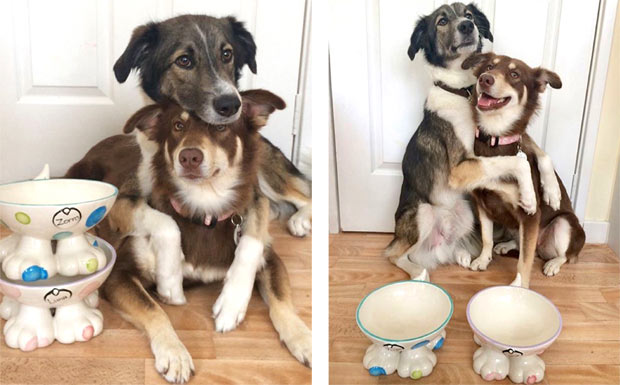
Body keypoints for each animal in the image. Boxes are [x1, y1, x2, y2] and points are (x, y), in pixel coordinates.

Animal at [448, 53, 584, 288]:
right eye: (489, 66)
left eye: (514, 74)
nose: (485, 79)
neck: (494, 138)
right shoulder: (480, 201)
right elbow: (487, 237)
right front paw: (483, 259)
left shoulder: (531, 218)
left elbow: (525, 261)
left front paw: (519, 287)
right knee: (521, 244)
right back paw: (506, 245)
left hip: (563, 224)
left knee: (563, 255)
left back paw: (553, 263)